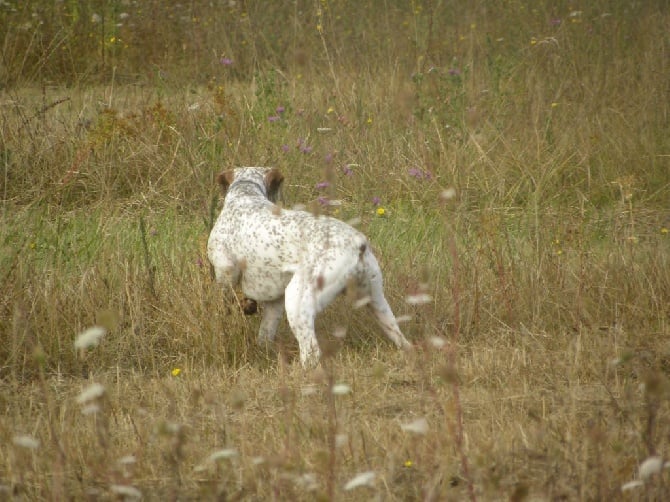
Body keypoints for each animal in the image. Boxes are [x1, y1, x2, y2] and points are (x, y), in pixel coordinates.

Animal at [207, 167, 412, 366]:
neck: (245, 194)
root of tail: (357, 243)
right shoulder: (275, 303)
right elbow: (264, 335)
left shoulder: (225, 278)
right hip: (378, 303)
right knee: (402, 340)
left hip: (297, 302)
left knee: (311, 352)